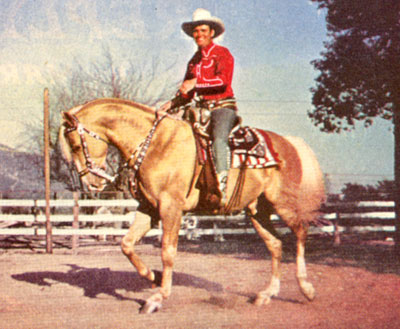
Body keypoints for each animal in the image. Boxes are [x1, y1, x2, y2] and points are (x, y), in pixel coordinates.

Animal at [58, 96, 324, 312]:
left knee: (300, 232)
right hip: (257, 211)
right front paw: (154, 277)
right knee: (275, 245)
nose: (92, 184)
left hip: (283, 204)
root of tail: (289, 143)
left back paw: (307, 288)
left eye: (76, 144)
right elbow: (127, 244)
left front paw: (159, 297)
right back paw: (266, 294)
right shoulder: (149, 209)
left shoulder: (171, 208)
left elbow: (167, 252)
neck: (157, 144)